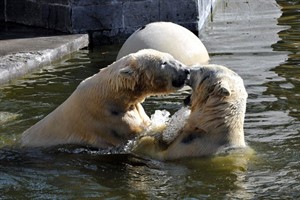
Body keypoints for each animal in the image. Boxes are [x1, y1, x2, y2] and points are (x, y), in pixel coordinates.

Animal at [22, 49, 189, 148]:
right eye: (163, 63)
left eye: (171, 56)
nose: (186, 70)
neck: (113, 96)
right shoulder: (110, 122)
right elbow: (141, 133)